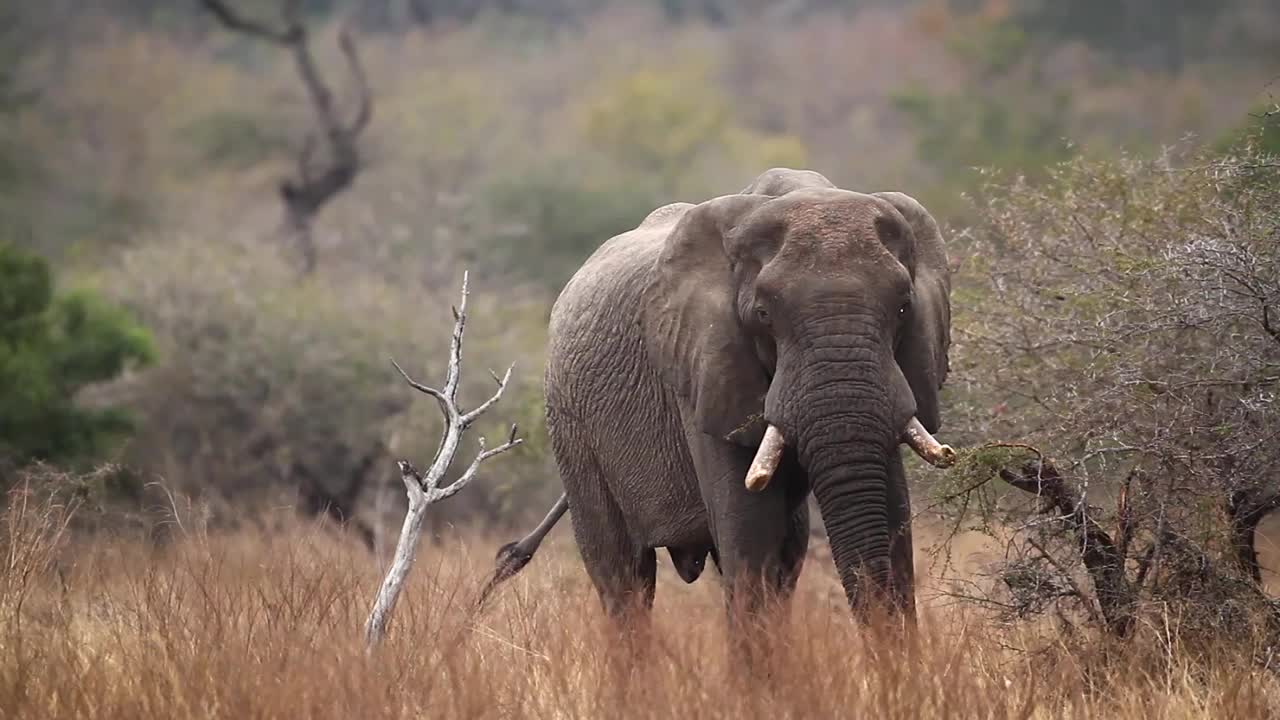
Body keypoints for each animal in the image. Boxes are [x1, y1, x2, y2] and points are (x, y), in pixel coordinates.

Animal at [483, 166, 957, 627]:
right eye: (763, 315)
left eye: (903, 308)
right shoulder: (702, 370)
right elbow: (749, 527)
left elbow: (892, 510)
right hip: (569, 422)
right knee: (623, 576)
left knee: (788, 555)